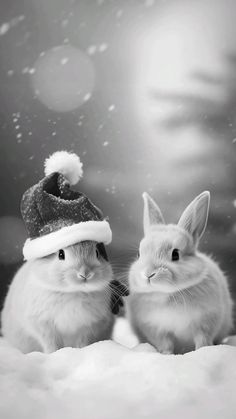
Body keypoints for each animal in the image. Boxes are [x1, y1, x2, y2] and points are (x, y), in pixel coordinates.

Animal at [126, 193, 233, 354]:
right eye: (139, 254)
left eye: (175, 254)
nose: (148, 274)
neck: (168, 294)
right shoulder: (156, 329)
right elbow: (166, 344)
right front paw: (167, 354)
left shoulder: (205, 323)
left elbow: (202, 340)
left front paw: (201, 351)